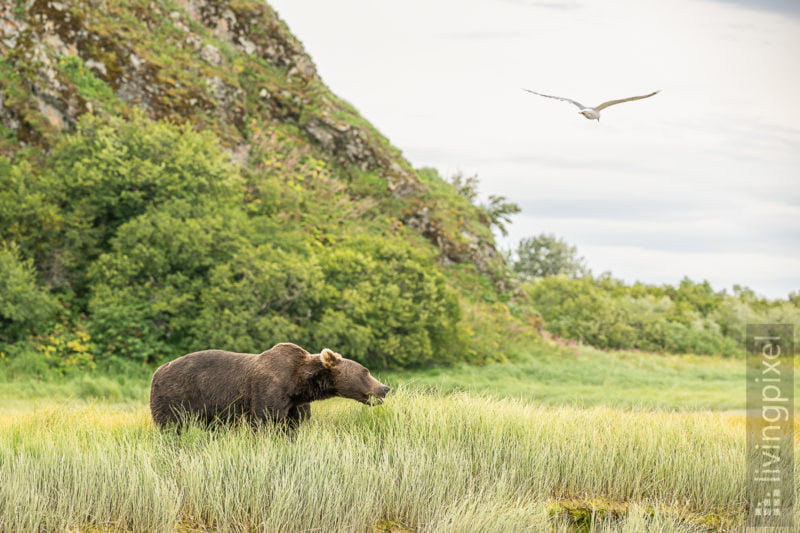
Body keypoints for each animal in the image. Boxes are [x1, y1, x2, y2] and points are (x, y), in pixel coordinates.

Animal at [150, 342, 390, 430]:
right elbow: (266, 421)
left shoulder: (296, 404)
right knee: (170, 428)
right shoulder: (268, 391)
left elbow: (295, 425)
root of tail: (157, 371)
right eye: (366, 371)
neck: (298, 385)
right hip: (176, 398)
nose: (385, 388)